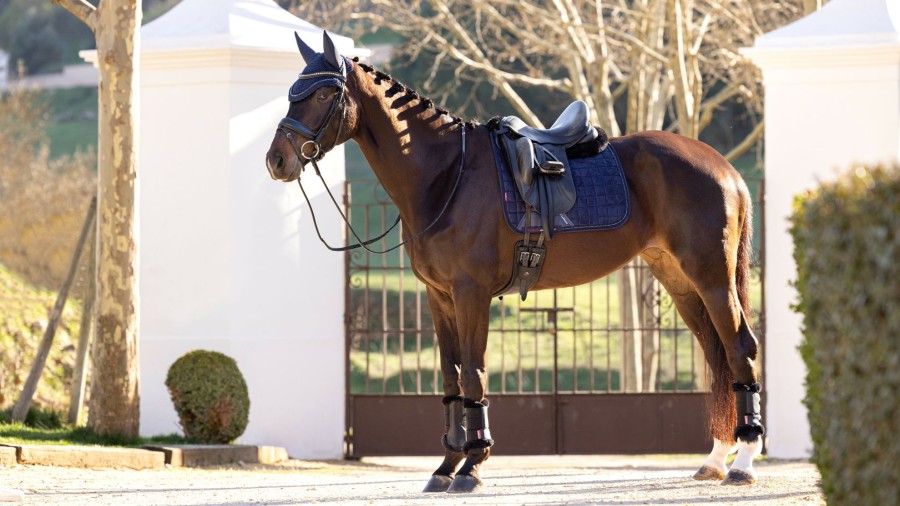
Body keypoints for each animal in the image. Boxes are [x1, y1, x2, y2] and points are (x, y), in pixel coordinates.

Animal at [264, 29, 764, 492]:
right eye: (292, 90)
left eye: (323, 93)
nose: (276, 160)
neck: (447, 175)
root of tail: (725, 169)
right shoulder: (438, 296)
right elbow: (450, 377)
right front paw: (446, 466)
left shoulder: (471, 294)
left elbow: (474, 376)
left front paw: (472, 465)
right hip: (680, 282)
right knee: (717, 355)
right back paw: (717, 458)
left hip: (712, 278)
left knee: (739, 348)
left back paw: (743, 461)